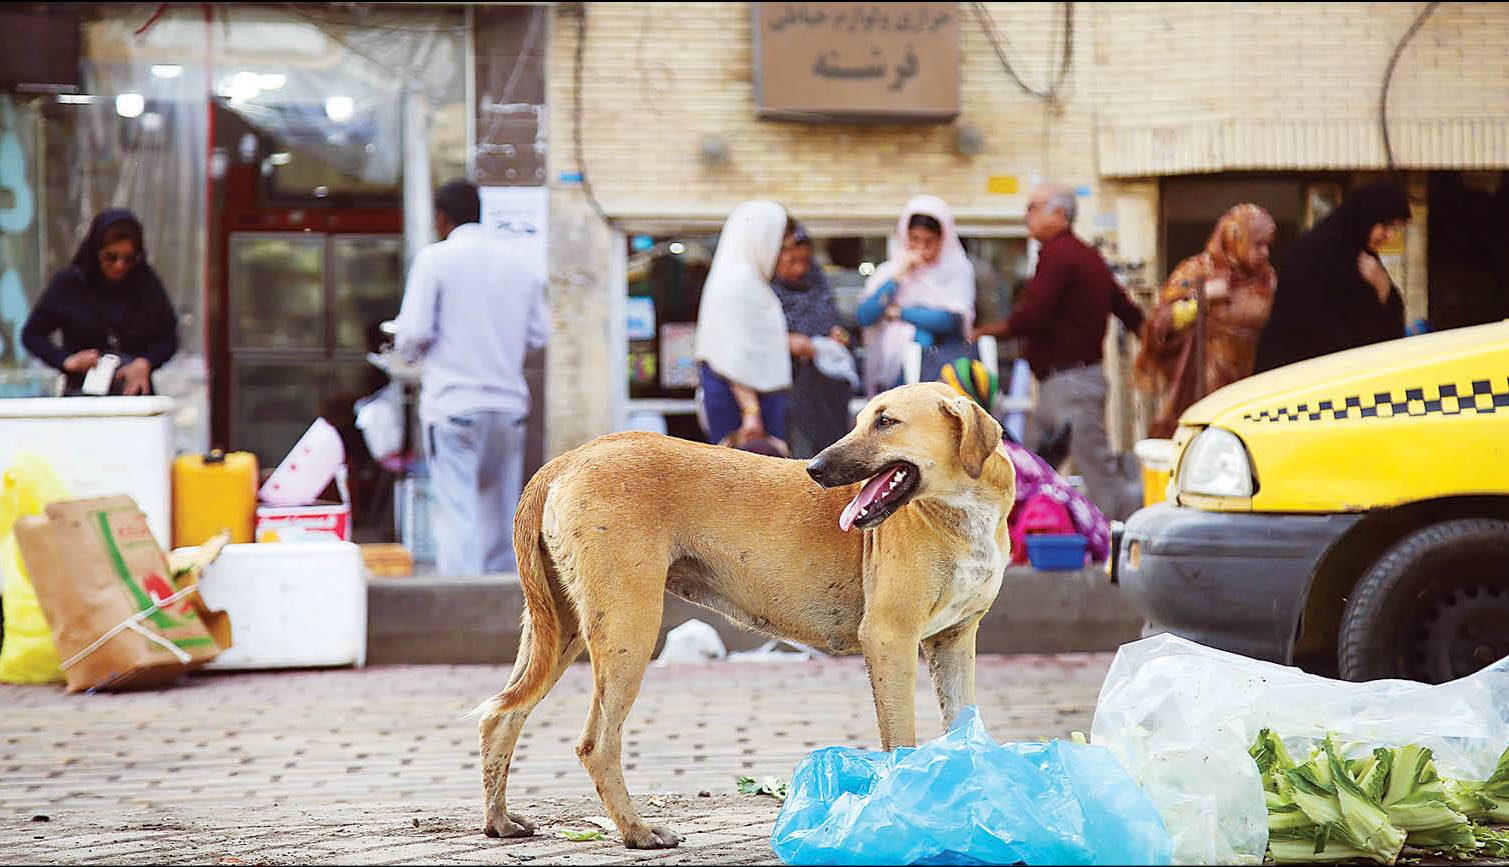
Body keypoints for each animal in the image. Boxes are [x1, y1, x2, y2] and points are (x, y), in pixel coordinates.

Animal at [470, 381, 1014, 850]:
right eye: (863, 420)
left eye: (886, 421)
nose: (815, 468)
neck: (962, 512)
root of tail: (567, 459)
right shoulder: (889, 638)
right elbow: (900, 741)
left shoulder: (954, 641)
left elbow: (964, 729)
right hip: (627, 627)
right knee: (596, 744)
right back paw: (638, 831)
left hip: (560, 627)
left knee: (503, 716)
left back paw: (500, 821)